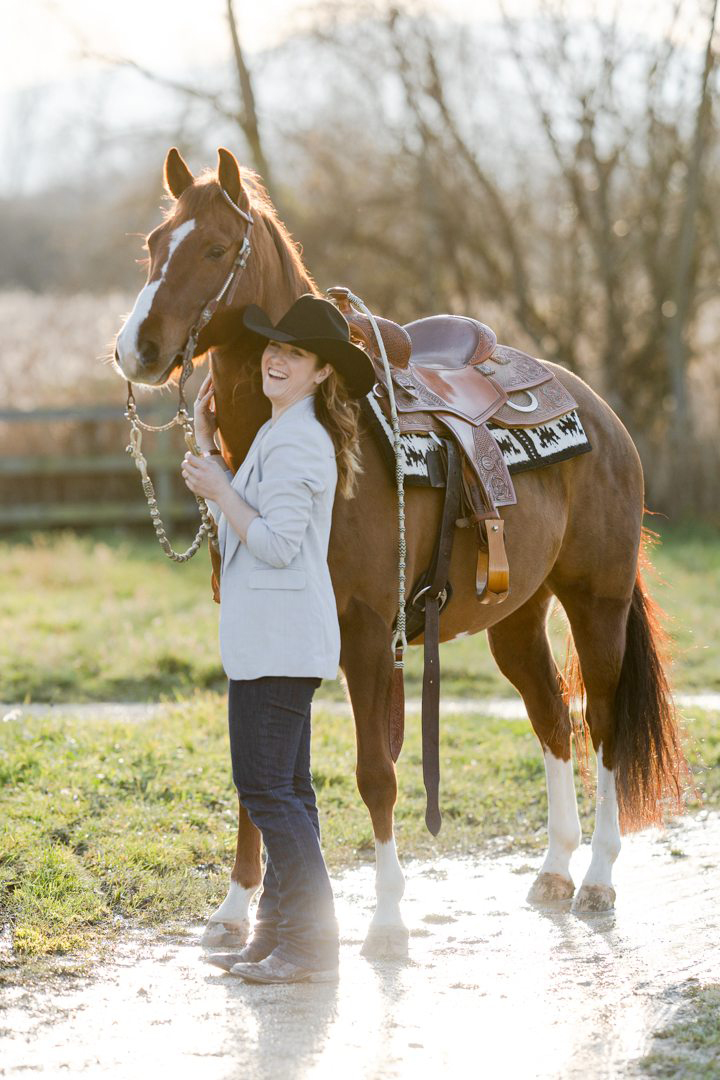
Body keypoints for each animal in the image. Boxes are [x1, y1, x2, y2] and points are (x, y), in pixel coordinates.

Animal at [114, 147, 686, 957]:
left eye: (218, 249)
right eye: (155, 244)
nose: (135, 350)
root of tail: (601, 415)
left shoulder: (365, 635)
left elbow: (375, 773)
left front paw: (385, 918)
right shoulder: (257, 638)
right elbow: (254, 775)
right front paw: (234, 910)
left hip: (596, 604)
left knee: (601, 725)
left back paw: (599, 876)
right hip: (518, 617)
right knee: (552, 717)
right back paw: (554, 869)